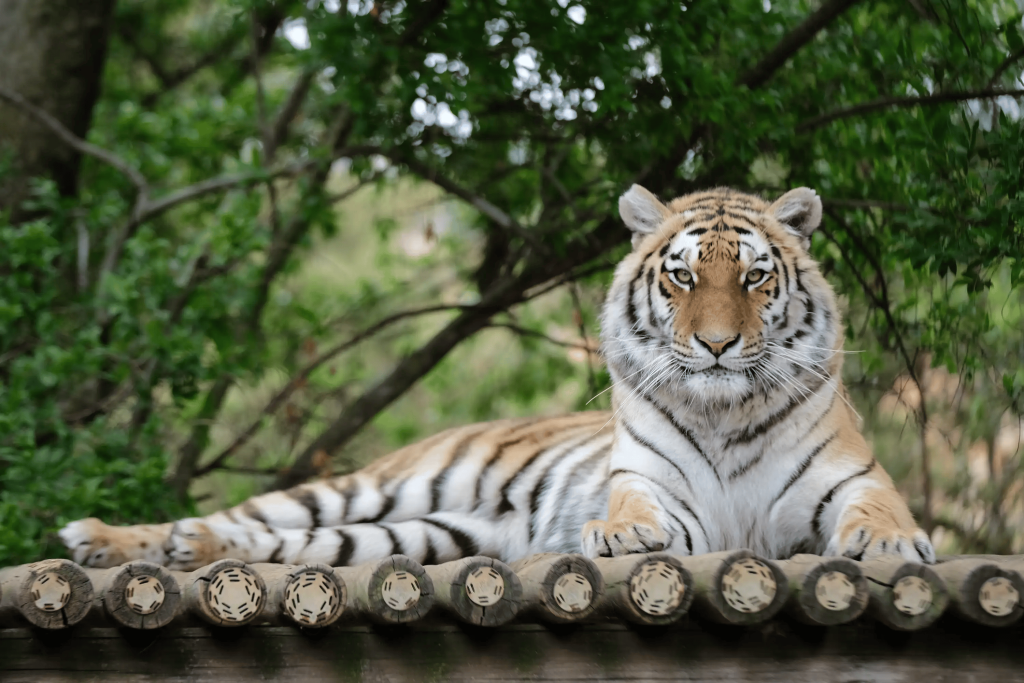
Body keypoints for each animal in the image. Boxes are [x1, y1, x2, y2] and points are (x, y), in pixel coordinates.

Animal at [59, 185, 936, 571]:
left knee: (280, 542)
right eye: (683, 277)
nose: (717, 345)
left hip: (427, 532)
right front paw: (621, 532)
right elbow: (640, 511)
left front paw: (892, 539)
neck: (724, 413)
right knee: (251, 515)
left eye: (754, 277)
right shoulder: (662, 490)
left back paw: (187, 546)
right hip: (374, 487)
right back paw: (104, 536)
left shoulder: (850, 477)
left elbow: (880, 507)